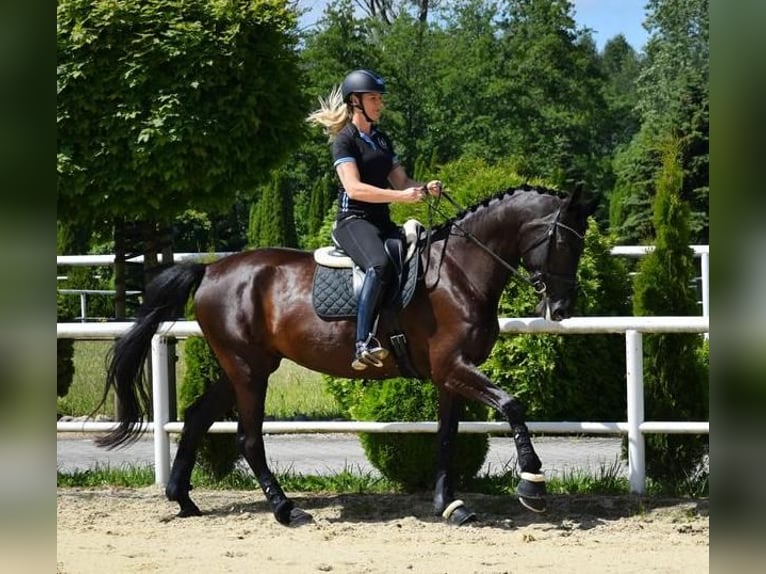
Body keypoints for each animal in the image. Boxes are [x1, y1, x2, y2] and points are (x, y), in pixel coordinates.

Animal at [99, 186, 592, 532]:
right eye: (562, 241)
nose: (561, 308)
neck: (458, 271)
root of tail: (210, 269)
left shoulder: (448, 375)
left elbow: (447, 439)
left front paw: (449, 505)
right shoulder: (454, 367)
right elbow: (511, 405)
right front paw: (531, 485)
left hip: (243, 366)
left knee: (199, 416)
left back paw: (183, 499)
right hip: (249, 370)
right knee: (248, 438)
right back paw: (286, 510)